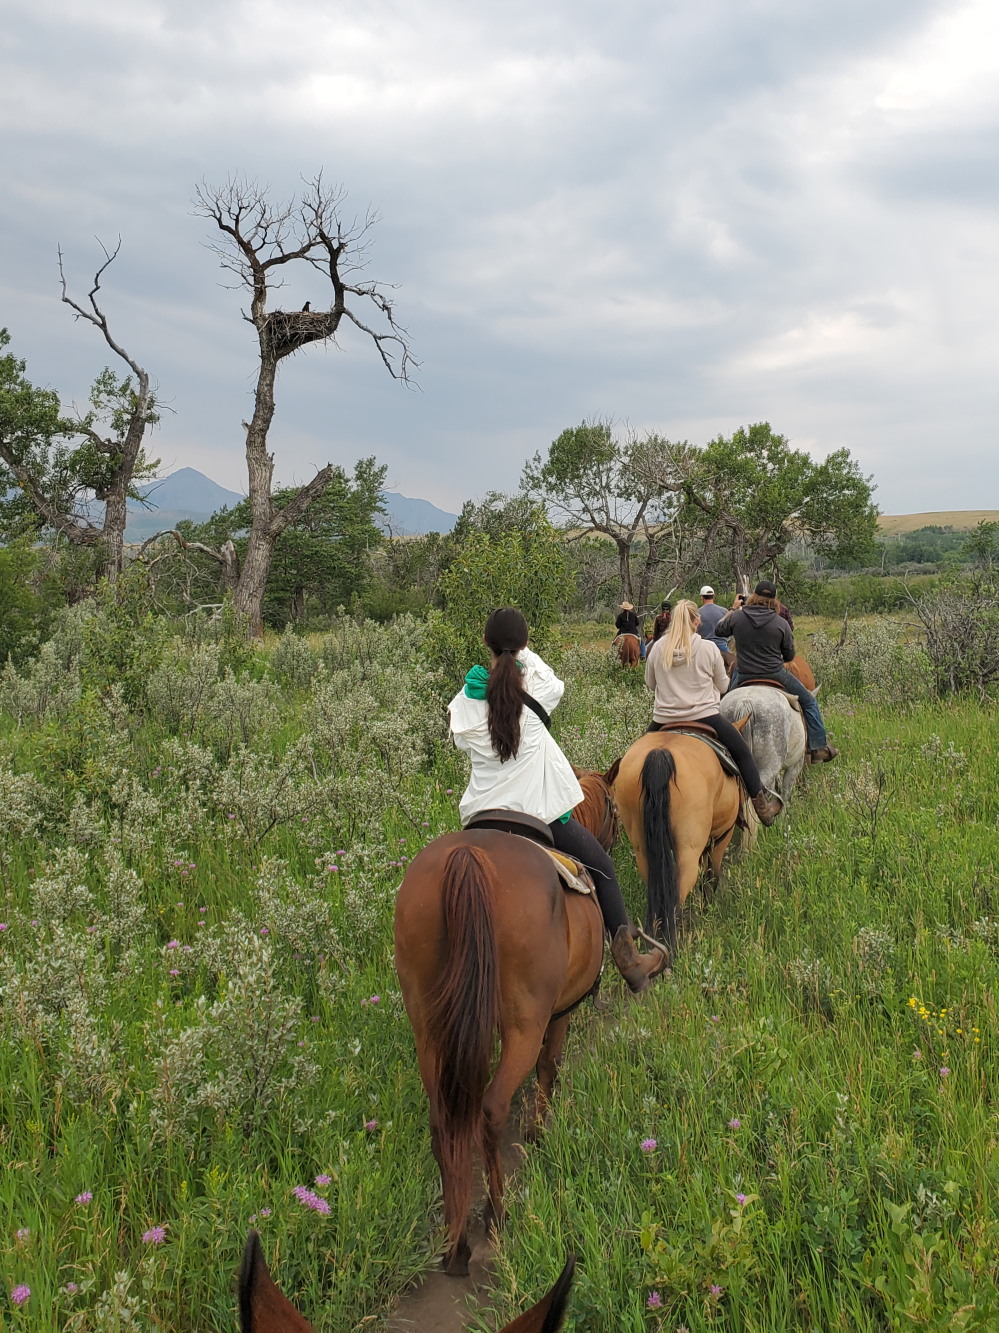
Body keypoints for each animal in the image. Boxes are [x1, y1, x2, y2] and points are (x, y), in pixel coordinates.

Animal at [394, 831, 600, 1279]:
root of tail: (468, 857)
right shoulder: (559, 1015)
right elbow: (549, 1066)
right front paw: (537, 1133)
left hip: (429, 1032)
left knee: (443, 1121)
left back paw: (454, 1245)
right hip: (524, 1026)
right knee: (492, 1108)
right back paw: (495, 1215)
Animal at [610, 730, 746, 949]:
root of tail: (659, 755)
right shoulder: (721, 836)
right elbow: (711, 877)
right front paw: (707, 911)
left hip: (643, 849)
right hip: (688, 850)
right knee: (679, 895)